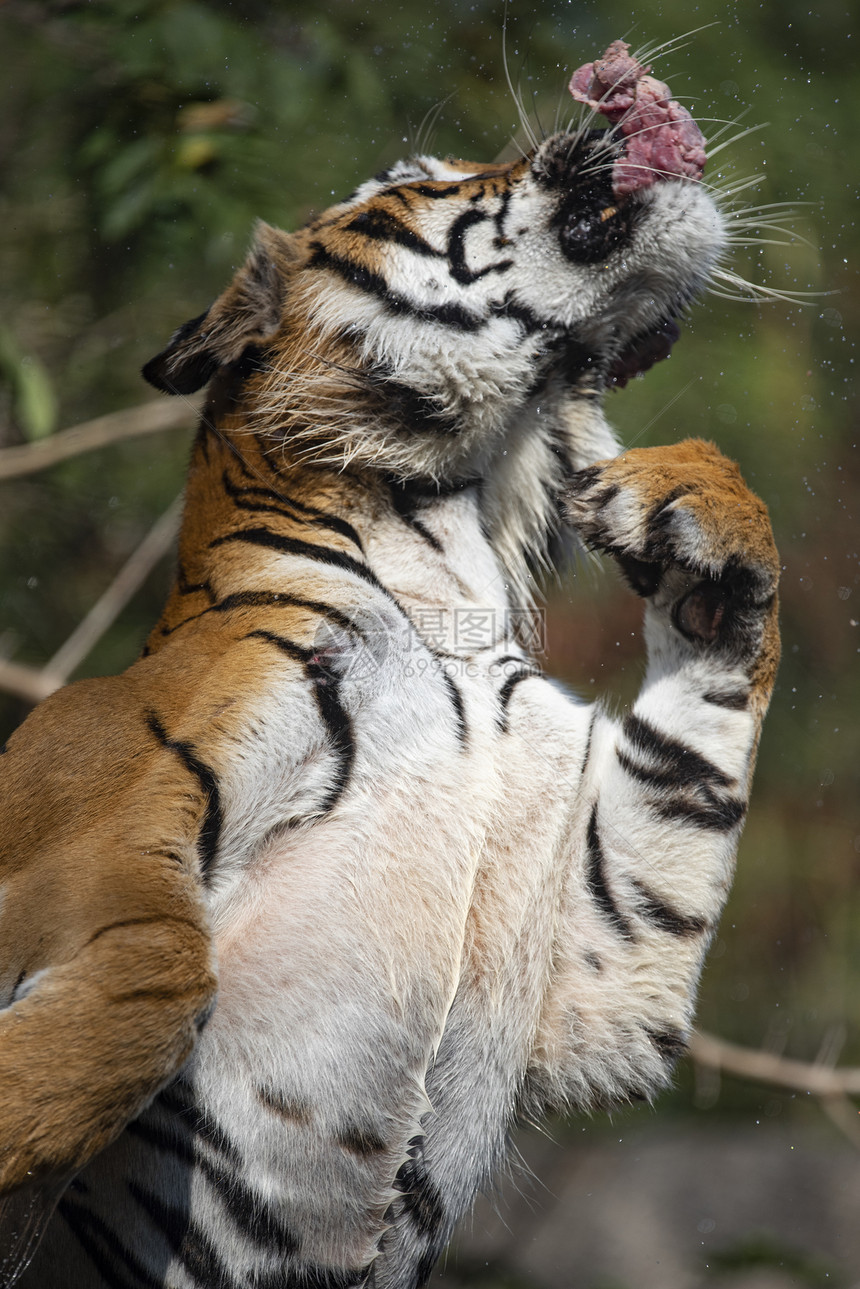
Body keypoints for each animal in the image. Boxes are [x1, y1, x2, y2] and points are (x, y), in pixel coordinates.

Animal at [0, 35, 778, 1289]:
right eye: (418, 179)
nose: (612, 105)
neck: (450, 559)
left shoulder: (595, 969)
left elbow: (689, 779)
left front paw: (692, 512)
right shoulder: (100, 794)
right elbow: (160, 970)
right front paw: (27, 1110)